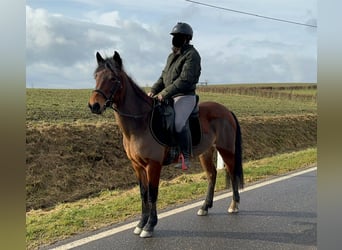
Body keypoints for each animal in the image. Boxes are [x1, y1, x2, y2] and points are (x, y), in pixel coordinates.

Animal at [88, 50, 243, 238]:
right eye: (96, 76)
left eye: (113, 78)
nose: (94, 105)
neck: (141, 122)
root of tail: (226, 111)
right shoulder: (137, 166)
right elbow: (143, 194)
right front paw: (140, 224)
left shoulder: (153, 165)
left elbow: (152, 194)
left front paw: (149, 226)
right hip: (206, 152)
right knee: (212, 175)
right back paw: (205, 207)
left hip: (226, 150)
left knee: (232, 172)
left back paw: (234, 205)